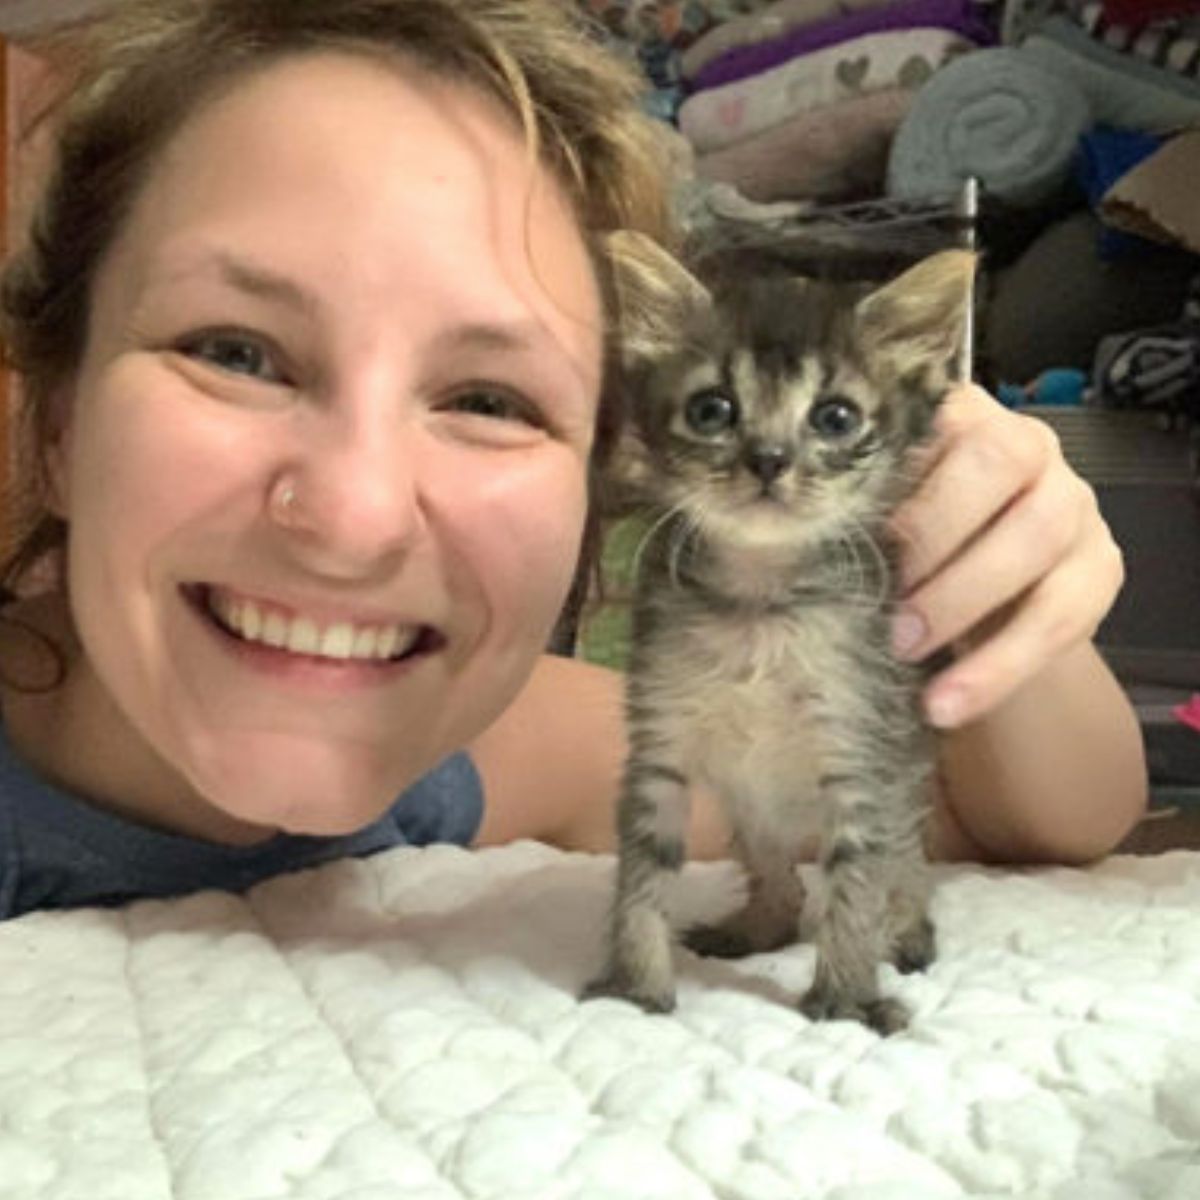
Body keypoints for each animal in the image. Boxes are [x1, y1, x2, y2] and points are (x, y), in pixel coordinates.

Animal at [583, 231, 974, 1032]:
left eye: (835, 418)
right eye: (711, 409)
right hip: (751, 810)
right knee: (782, 882)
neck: (760, 607)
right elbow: (642, 871)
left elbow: (856, 883)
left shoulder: (863, 754)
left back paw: (906, 929)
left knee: (904, 863)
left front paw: (847, 997)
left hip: (904, 771)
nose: (767, 459)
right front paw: (636, 986)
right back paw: (759, 923)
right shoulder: (658, 744)